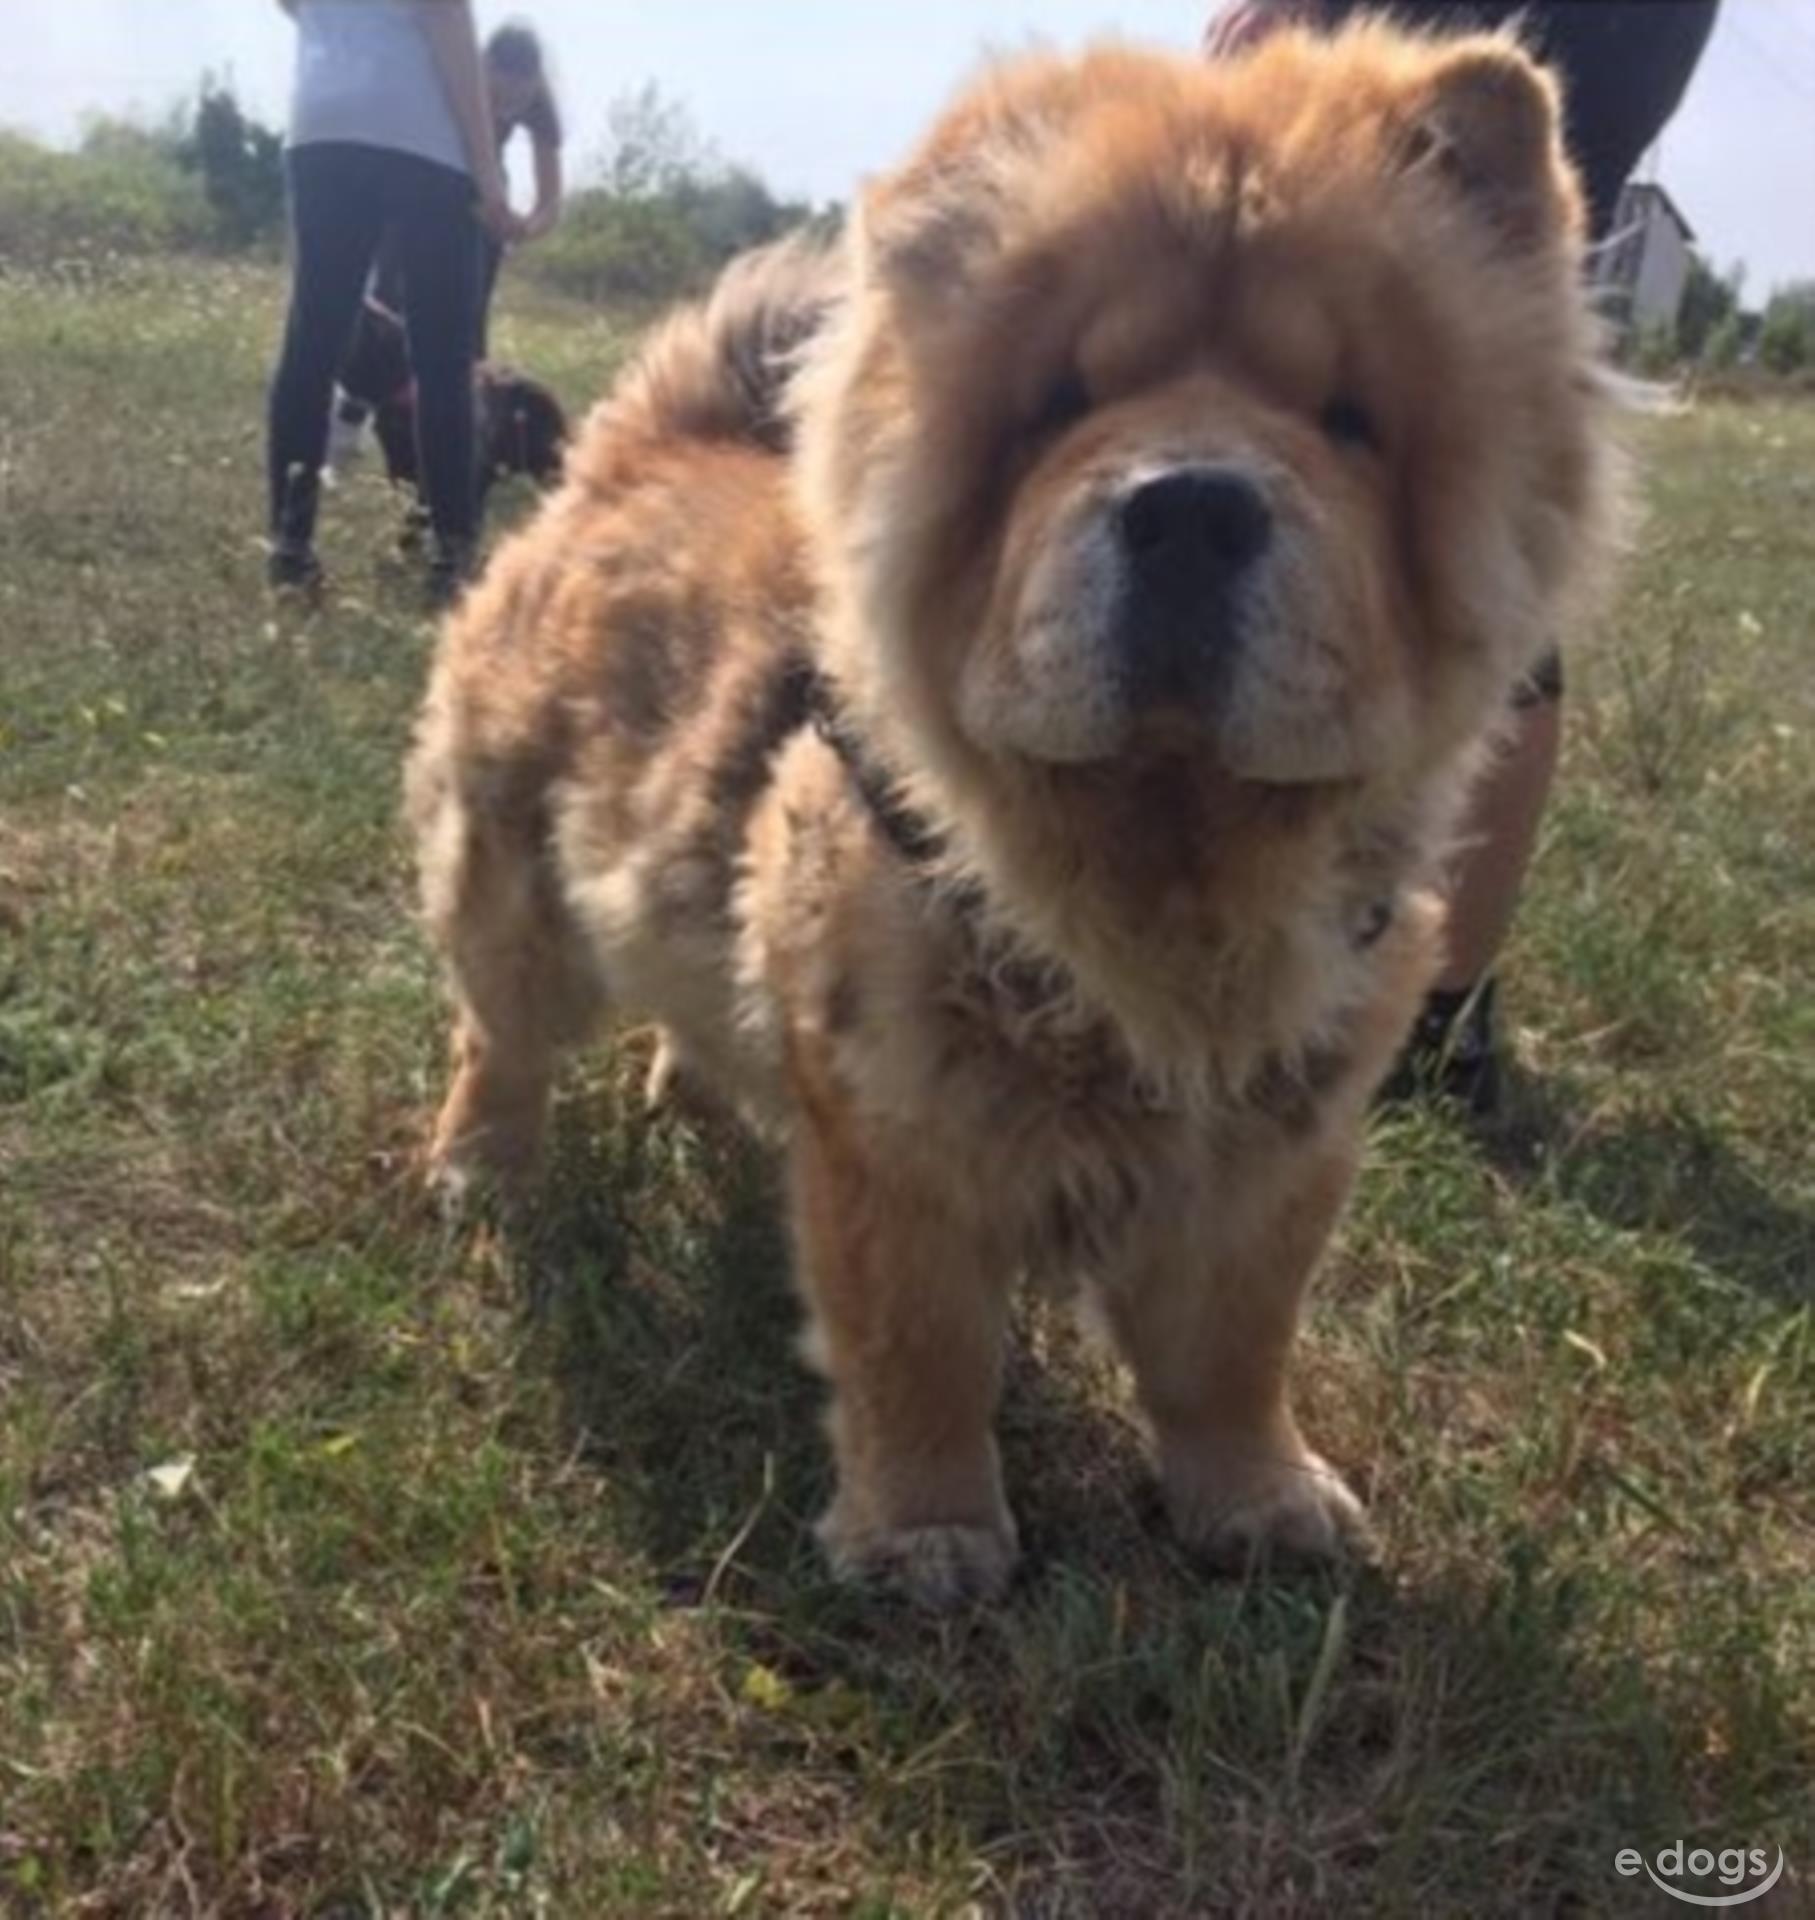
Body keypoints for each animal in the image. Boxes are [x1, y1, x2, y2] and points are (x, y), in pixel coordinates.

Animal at [407, 22, 1613, 1605]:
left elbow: (1235, 1350)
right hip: (515, 888)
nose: (1189, 505)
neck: (1160, 875)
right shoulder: (902, 1131)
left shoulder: (1277, 1154)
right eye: (1059, 405)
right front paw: (928, 1538)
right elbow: (917, 1347)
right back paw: (480, 1172)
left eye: (1346, 420)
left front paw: (1260, 1504)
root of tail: (637, 455)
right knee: (501, 1036)